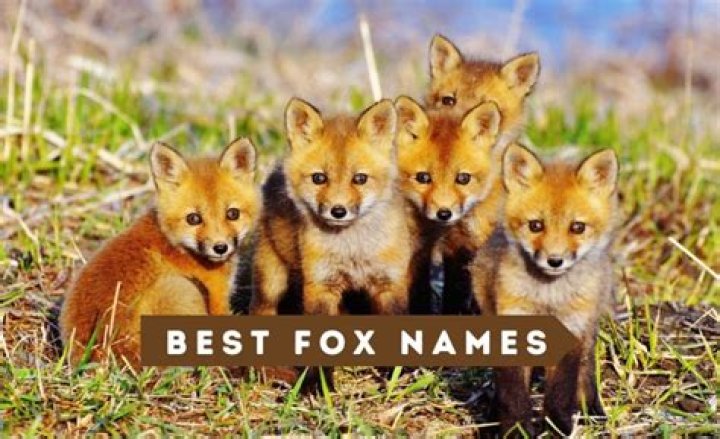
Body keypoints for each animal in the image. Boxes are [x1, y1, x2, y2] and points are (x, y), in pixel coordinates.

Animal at [59, 139, 259, 368]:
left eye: (232, 214)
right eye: (193, 218)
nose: (220, 247)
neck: (177, 244)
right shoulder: (217, 299)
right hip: (183, 289)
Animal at [471, 143, 618, 435]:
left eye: (577, 227)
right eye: (535, 225)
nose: (554, 260)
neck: (549, 298)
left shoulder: (572, 331)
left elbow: (561, 392)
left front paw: (558, 427)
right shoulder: (512, 326)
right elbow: (513, 393)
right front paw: (516, 429)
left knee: (585, 369)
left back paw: (590, 408)